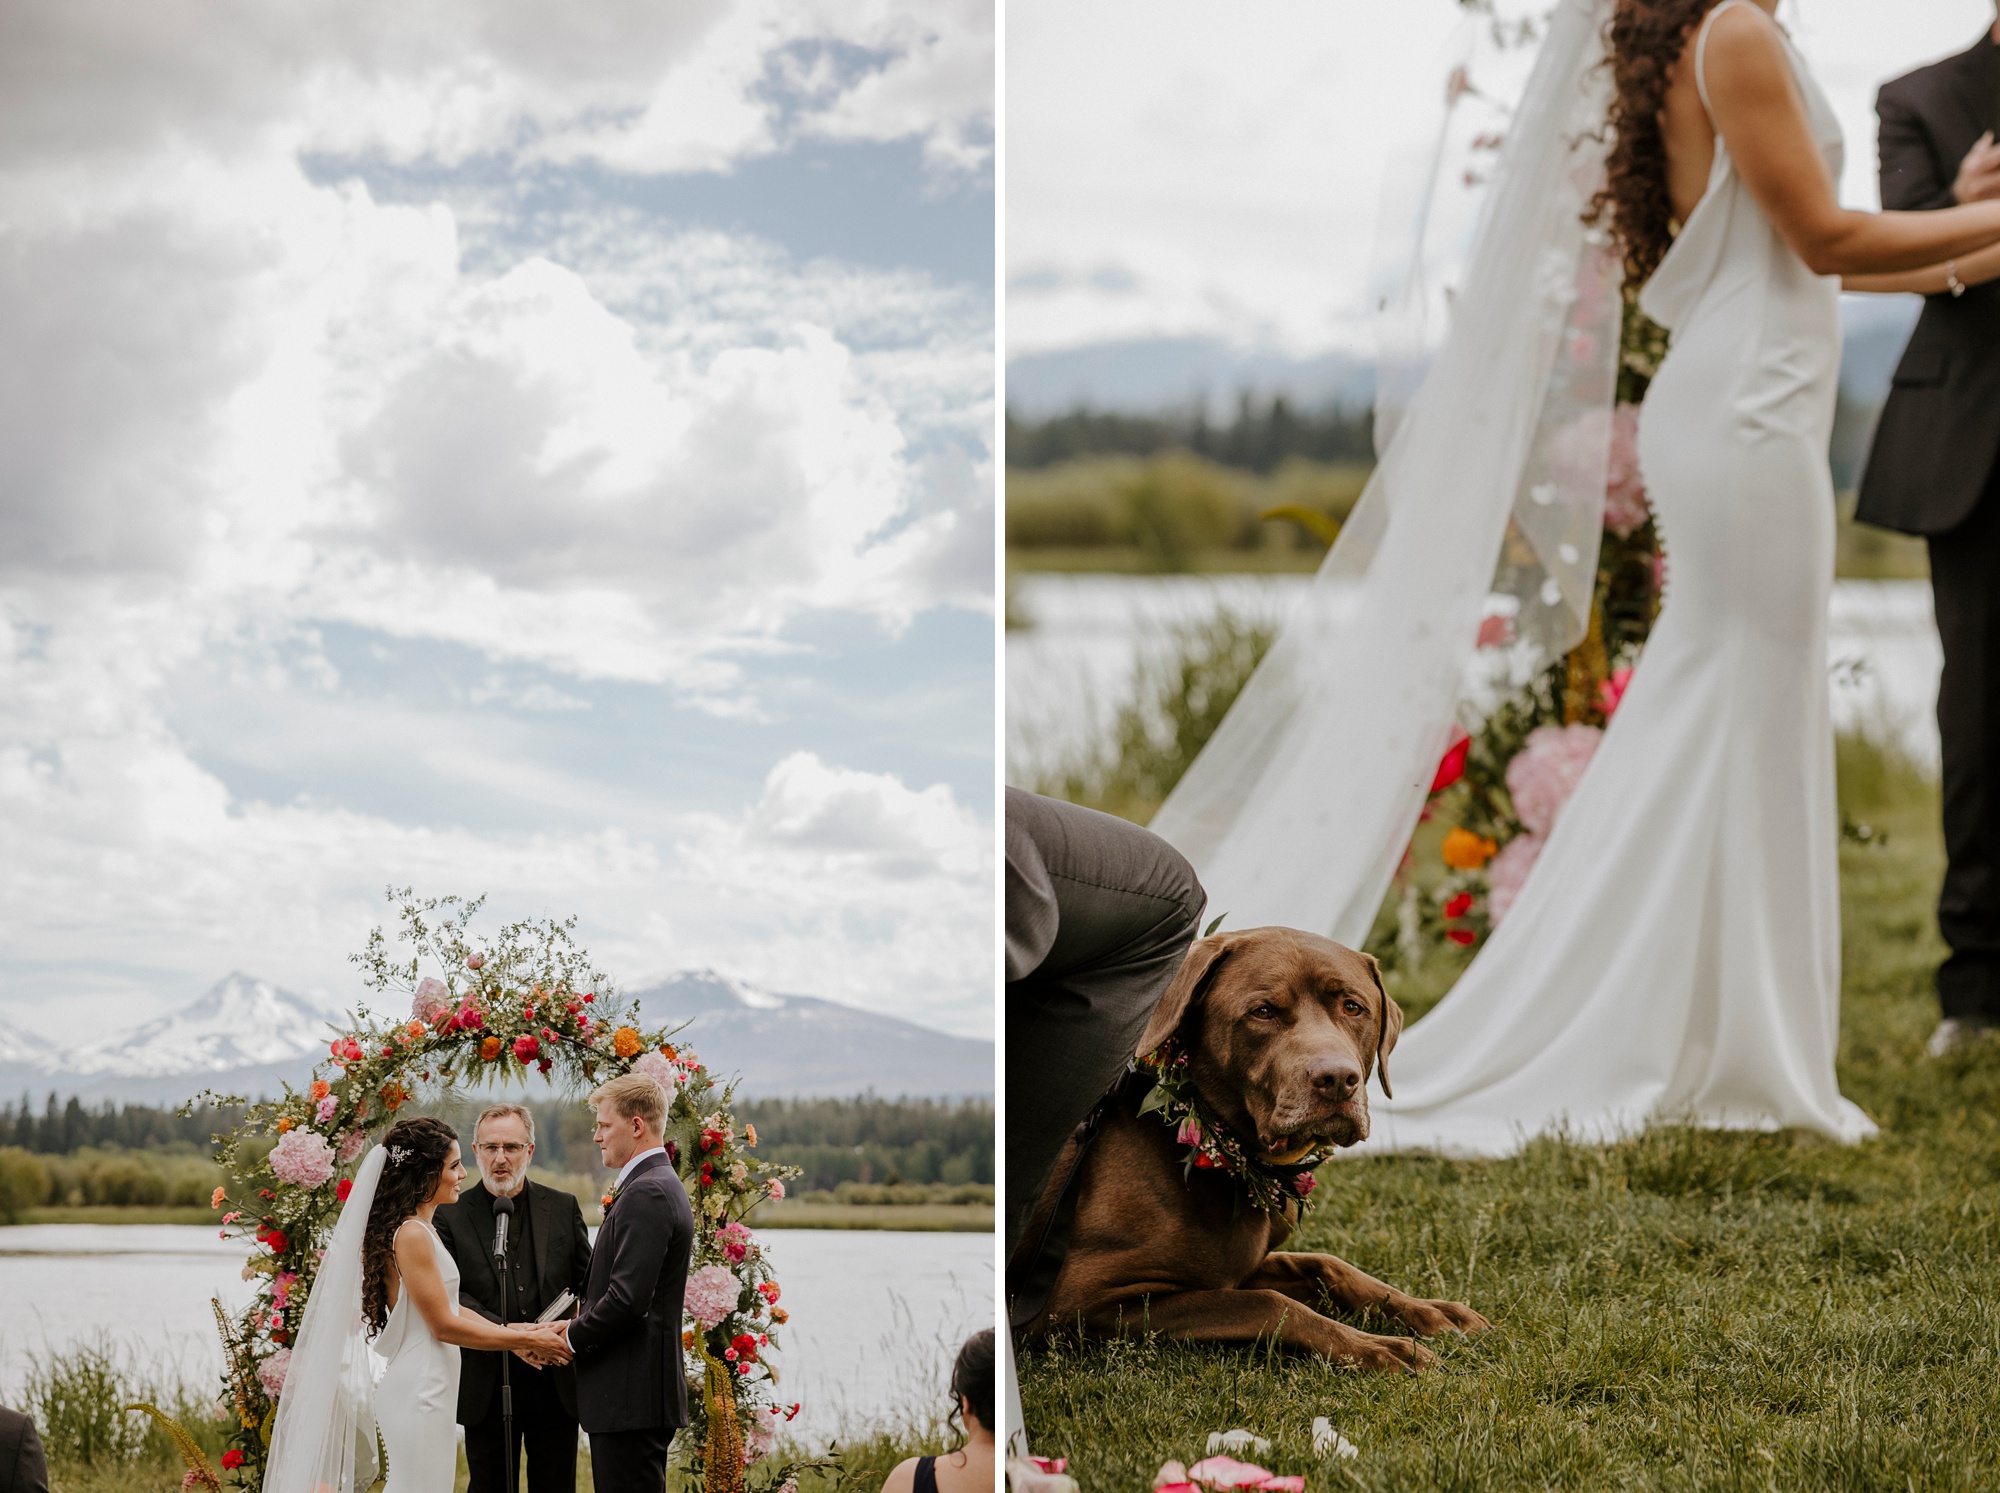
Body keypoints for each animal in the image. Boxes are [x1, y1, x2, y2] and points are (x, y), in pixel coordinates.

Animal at [1016, 924, 1488, 1368]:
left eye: (1353, 1007)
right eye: (1263, 1012)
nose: (1338, 1079)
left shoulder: (1245, 1263)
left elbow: (1327, 1263)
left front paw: (1429, 1310)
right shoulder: (1075, 1303)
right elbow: (1270, 1303)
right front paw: (1378, 1347)